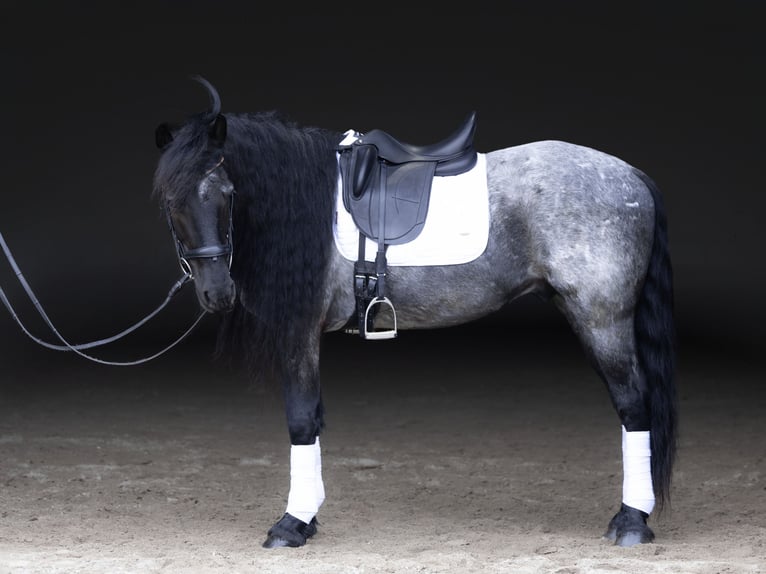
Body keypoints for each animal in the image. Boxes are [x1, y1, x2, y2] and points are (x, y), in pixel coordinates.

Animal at [152, 77, 676, 549]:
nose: (217, 293)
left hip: (601, 319)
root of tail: (632, 175)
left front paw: (292, 524)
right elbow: (313, 417)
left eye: (225, 192)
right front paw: (308, 517)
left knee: (634, 405)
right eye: (170, 200)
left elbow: (300, 419)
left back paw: (632, 521)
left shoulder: (299, 329)